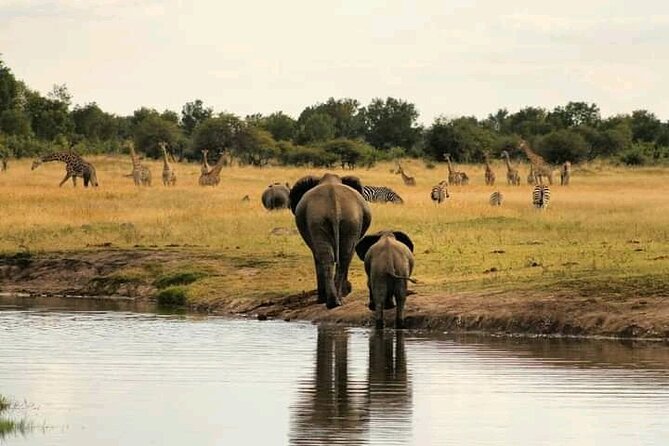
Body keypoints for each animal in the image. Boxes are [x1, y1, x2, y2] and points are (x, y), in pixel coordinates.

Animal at [289, 173, 372, 309]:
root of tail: (335, 207)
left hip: (328, 221)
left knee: (331, 257)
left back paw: (332, 300)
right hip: (343, 221)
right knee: (341, 256)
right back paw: (335, 300)